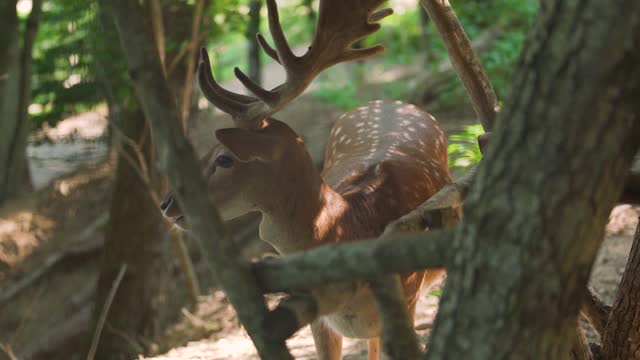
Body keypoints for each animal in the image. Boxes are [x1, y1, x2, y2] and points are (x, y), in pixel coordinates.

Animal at [160, 0, 450, 358]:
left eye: (225, 158)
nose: (167, 203)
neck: (351, 225)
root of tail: (389, 101)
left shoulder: (407, 298)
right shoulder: (320, 319)